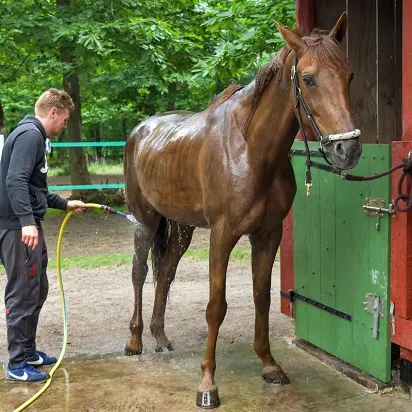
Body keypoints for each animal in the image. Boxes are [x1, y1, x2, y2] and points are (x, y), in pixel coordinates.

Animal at [122, 12, 360, 408]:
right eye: (308, 78)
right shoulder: (223, 234)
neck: (251, 150)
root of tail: (140, 131)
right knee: (140, 273)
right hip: (145, 220)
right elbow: (215, 307)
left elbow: (261, 297)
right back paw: (135, 340)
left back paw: (161, 338)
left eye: (350, 75)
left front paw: (269, 365)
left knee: (165, 272)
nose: (349, 150)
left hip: (182, 228)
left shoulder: (267, 235)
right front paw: (207, 385)